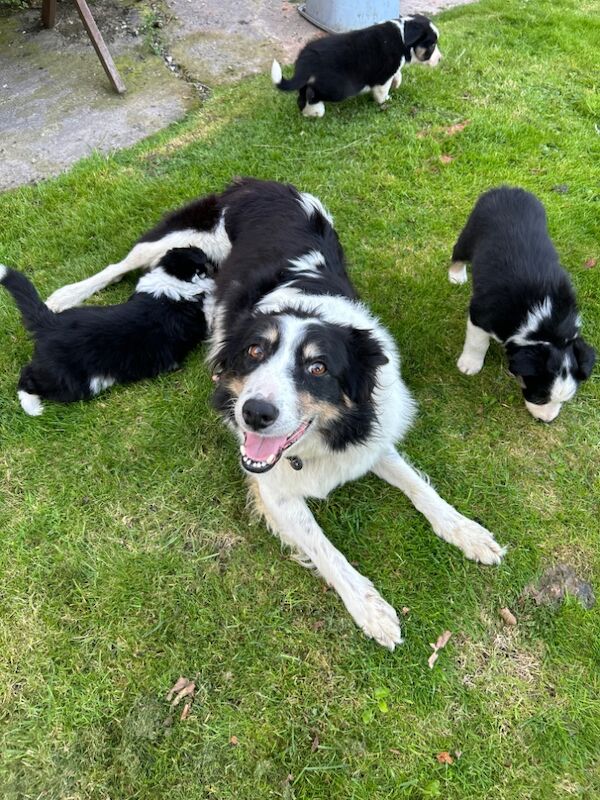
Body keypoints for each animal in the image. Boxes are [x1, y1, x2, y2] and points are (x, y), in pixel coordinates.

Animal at [45, 178, 502, 648]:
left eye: (318, 368)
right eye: (254, 352)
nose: (255, 414)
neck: (315, 445)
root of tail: (259, 183)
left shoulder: (366, 440)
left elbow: (420, 488)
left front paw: (467, 531)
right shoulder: (275, 492)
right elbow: (326, 550)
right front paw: (370, 609)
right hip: (180, 235)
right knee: (122, 263)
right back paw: (65, 295)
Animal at [272, 14, 440, 118]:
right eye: (432, 45)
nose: (440, 59)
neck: (404, 36)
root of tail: (307, 57)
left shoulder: (393, 68)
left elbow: (398, 74)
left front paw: (397, 83)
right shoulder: (384, 75)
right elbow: (382, 90)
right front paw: (385, 100)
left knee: (302, 95)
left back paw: (307, 112)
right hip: (337, 87)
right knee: (312, 94)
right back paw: (316, 111)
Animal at [450, 188, 596, 424]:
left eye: (565, 401)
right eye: (539, 397)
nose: (547, 421)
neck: (546, 326)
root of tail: (508, 188)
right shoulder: (481, 315)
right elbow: (477, 343)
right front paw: (469, 365)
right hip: (471, 232)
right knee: (458, 252)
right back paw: (455, 276)